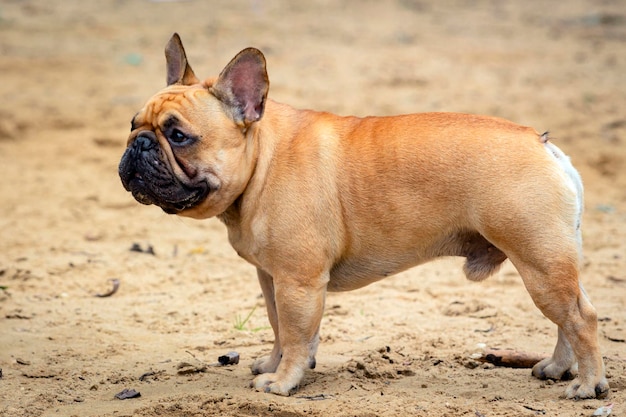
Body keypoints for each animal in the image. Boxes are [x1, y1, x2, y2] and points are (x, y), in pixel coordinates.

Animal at [119, 34, 608, 398]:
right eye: (132, 123)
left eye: (179, 136)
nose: (138, 145)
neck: (262, 160)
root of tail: (542, 144)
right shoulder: (273, 279)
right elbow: (280, 328)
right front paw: (275, 364)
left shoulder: (298, 281)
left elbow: (295, 333)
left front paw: (283, 381)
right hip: (550, 263)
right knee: (569, 313)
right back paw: (557, 368)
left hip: (538, 259)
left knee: (580, 317)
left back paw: (587, 386)